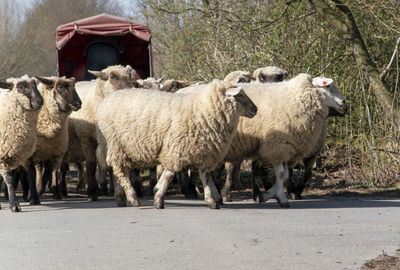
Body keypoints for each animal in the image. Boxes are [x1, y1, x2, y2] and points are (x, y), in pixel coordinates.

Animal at [0, 75, 43, 212]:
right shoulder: (2, 156)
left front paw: (34, 199)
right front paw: (14, 204)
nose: (40, 101)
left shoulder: (25, 153)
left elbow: (31, 173)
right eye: (21, 87)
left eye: (35, 84)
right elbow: (9, 179)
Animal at [69, 65, 138, 200]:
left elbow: (110, 166)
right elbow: (91, 165)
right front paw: (91, 193)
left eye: (129, 76)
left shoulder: (111, 140)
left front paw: (112, 190)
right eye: (112, 77)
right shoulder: (86, 138)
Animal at [95, 80, 256, 209]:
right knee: (120, 171)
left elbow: (205, 176)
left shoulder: (202, 151)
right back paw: (132, 198)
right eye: (239, 96)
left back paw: (120, 198)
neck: (202, 110)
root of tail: (105, 101)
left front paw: (212, 199)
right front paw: (158, 198)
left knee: (117, 172)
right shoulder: (176, 149)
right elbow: (169, 175)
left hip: (121, 149)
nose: (255, 109)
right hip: (115, 144)